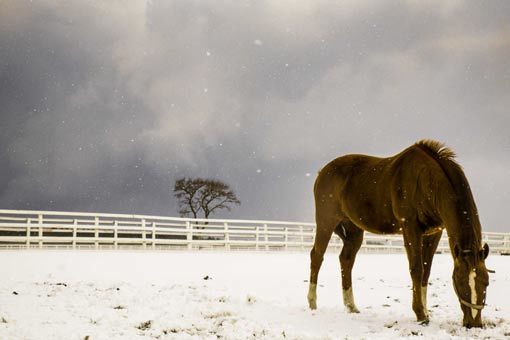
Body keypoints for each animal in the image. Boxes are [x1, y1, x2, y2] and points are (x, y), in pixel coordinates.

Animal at [306, 139, 490, 328]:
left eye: (486, 282)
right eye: (460, 281)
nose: (474, 323)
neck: (426, 179)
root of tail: (322, 172)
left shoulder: (434, 233)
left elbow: (426, 271)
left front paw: (426, 312)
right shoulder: (410, 227)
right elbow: (416, 269)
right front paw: (420, 314)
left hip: (354, 230)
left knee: (346, 260)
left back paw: (351, 306)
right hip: (326, 222)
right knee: (317, 256)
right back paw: (312, 303)